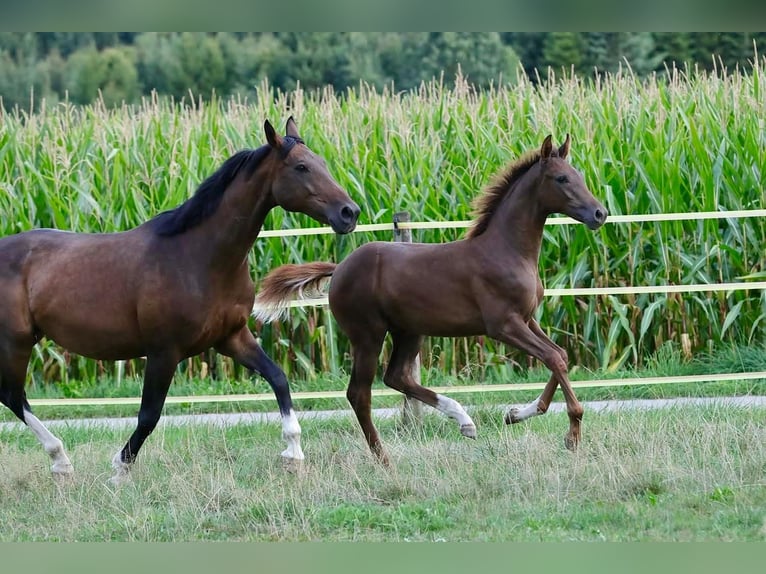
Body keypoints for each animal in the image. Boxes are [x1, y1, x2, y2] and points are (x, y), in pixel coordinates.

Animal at [0, 117, 360, 482]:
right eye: (301, 167)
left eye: (322, 162)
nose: (350, 212)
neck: (199, 257)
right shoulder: (164, 351)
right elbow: (149, 414)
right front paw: (120, 469)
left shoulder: (232, 337)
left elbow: (278, 378)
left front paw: (293, 452)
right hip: (16, 342)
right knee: (13, 395)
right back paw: (60, 459)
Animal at [254, 135, 607, 464]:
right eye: (561, 179)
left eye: (578, 174)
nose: (599, 213)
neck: (507, 250)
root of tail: (340, 267)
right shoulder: (504, 325)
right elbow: (554, 358)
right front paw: (572, 433)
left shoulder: (528, 318)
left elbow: (559, 355)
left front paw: (516, 414)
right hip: (368, 335)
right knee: (360, 393)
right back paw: (384, 457)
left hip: (409, 331)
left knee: (396, 376)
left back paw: (464, 421)